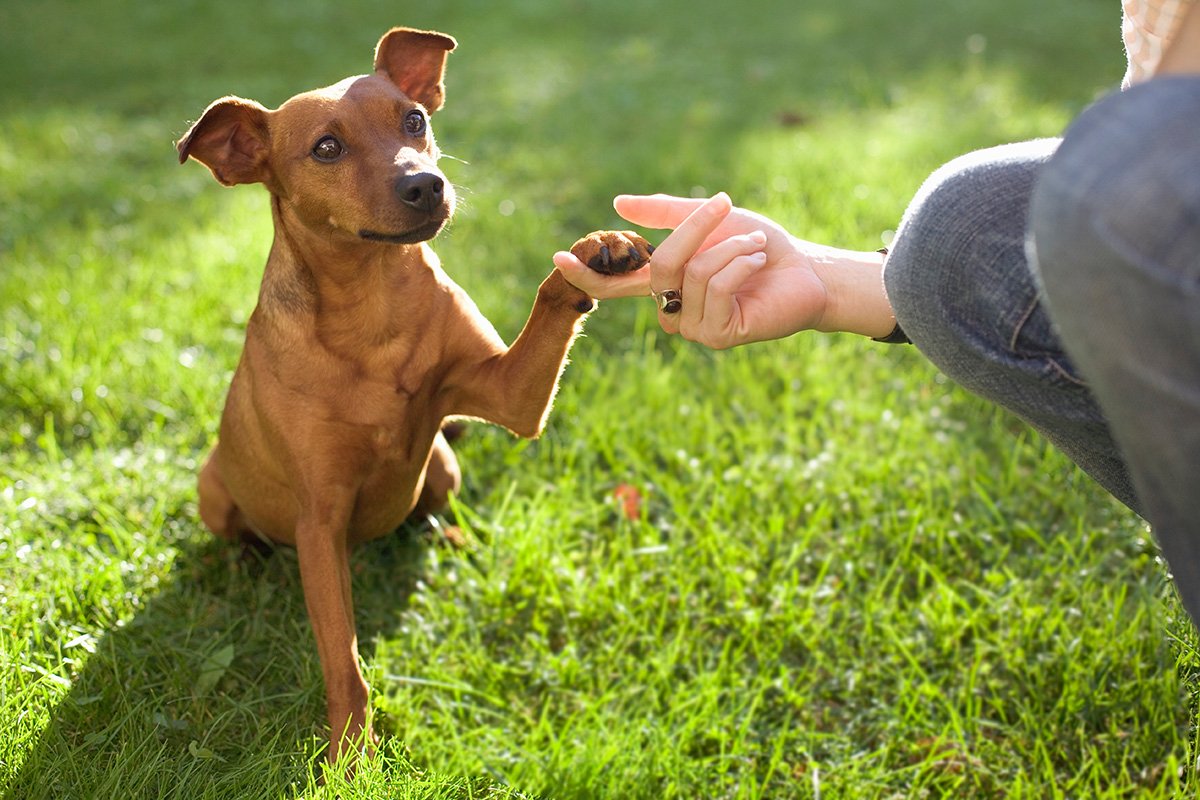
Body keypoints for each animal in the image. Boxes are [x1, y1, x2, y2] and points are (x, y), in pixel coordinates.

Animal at [175, 26, 600, 767]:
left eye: (414, 121)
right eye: (327, 148)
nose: (425, 183)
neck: (373, 308)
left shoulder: (509, 396)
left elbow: (551, 307)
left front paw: (598, 252)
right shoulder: (319, 523)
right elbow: (342, 658)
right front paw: (350, 753)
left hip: (442, 462)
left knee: (430, 507)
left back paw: (451, 534)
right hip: (214, 487)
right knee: (240, 534)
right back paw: (246, 561)